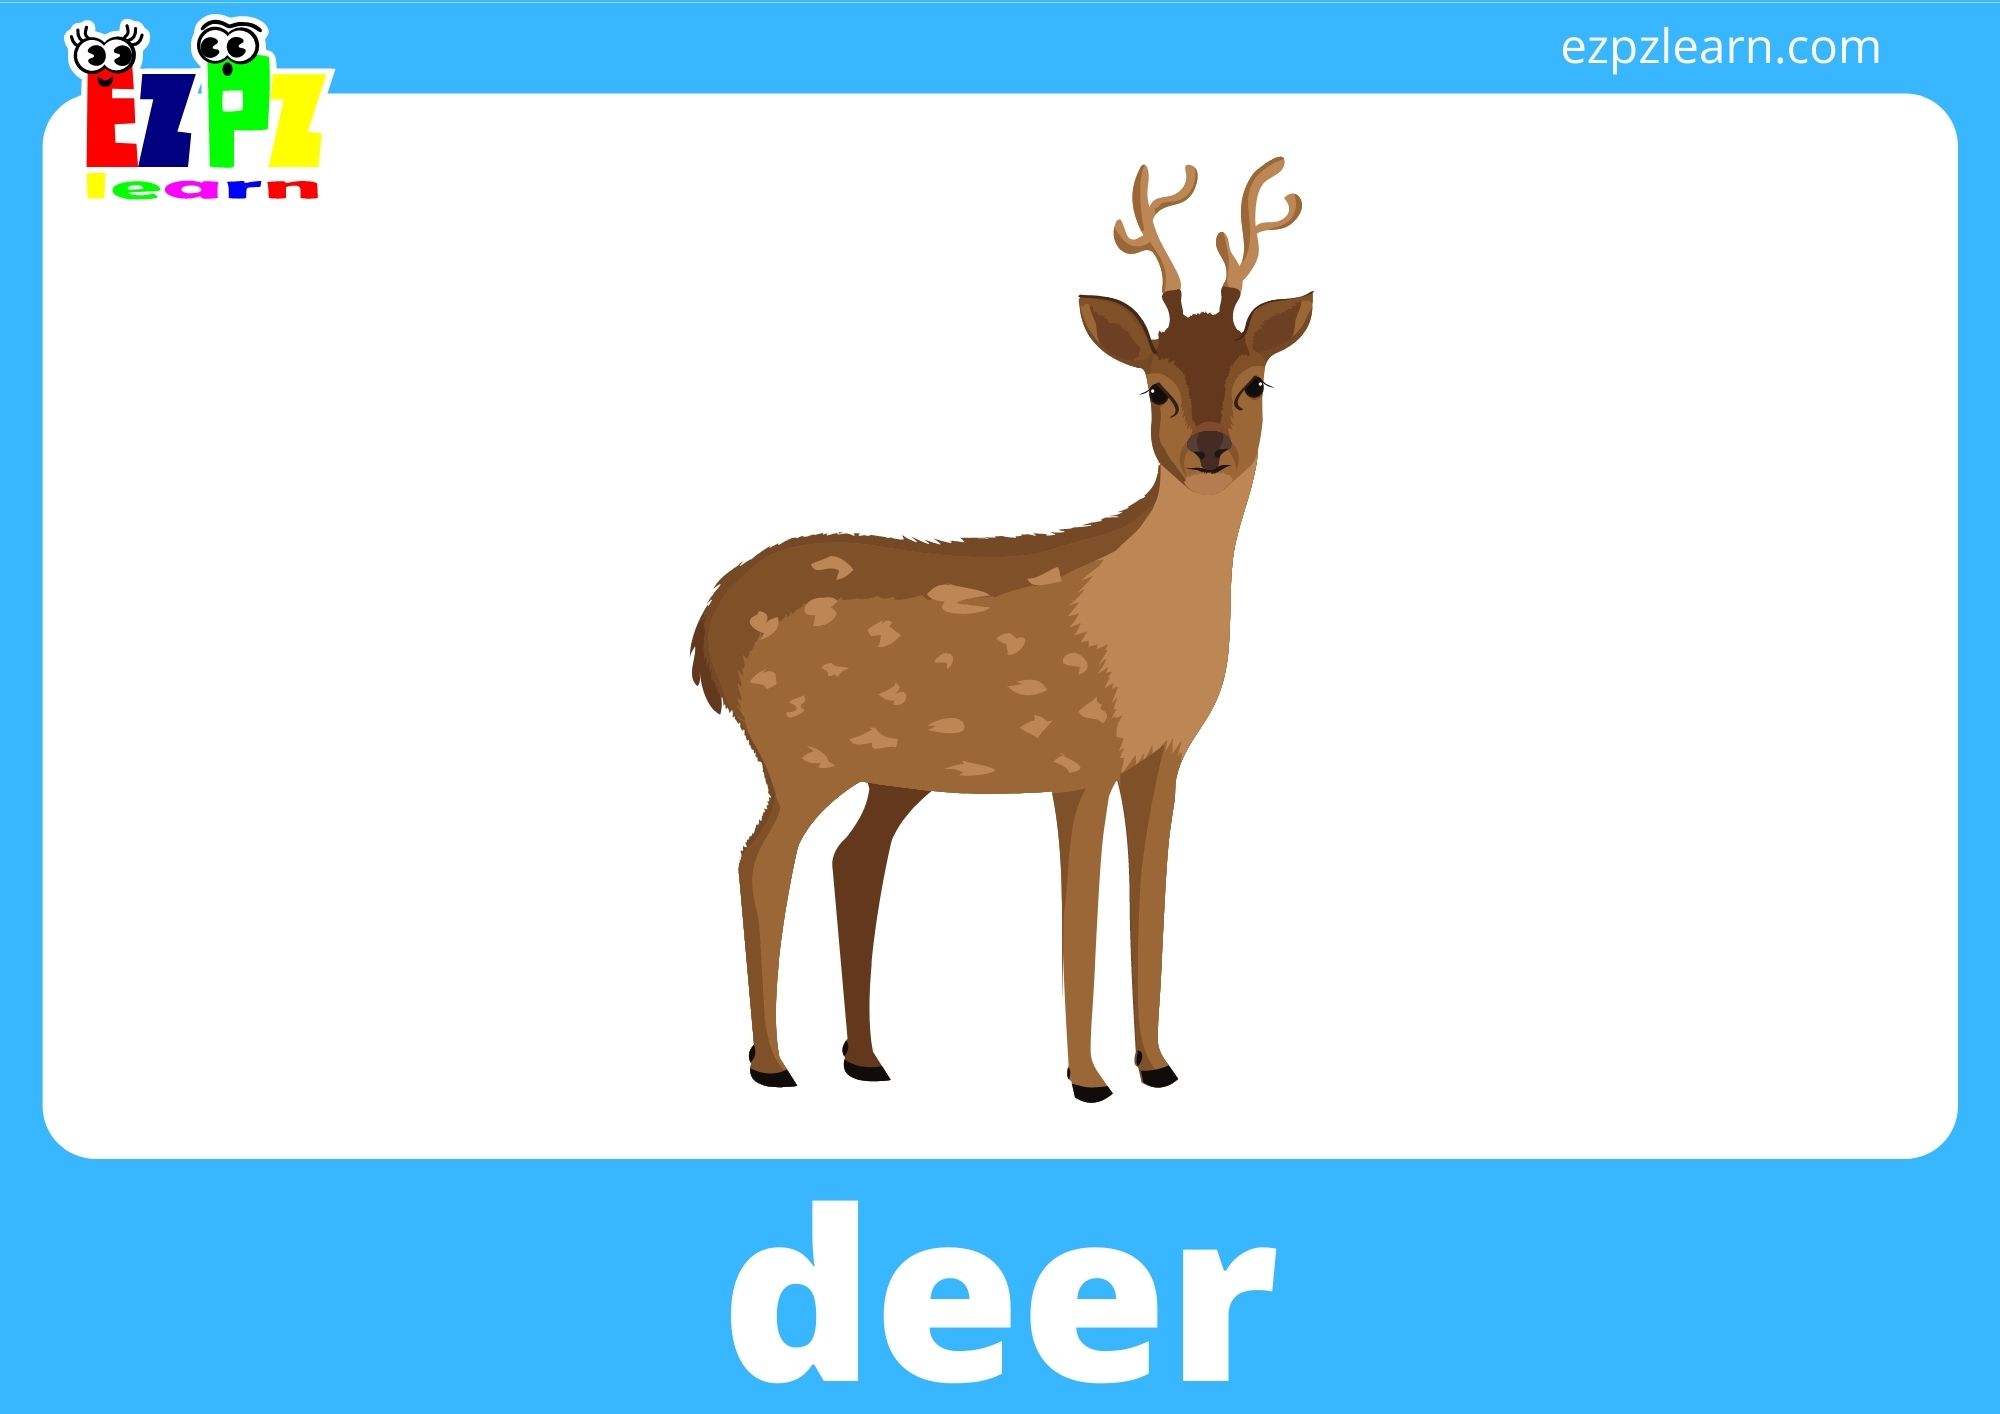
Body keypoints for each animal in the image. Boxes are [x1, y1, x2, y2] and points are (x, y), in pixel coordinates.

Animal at [690, 158, 1312, 1102]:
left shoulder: (1161, 755)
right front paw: (1088, 1079)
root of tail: (710, 632)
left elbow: (1151, 899)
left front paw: (1157, 1064)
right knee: (760, 861)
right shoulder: (1079, 752)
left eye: (1255, 382)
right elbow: (1078, 911)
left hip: (887, 770)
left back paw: (865, 1058)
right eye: (1154, 386)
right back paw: (772, 1064)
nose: (1208, 448)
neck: (1147, 625)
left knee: (851, 860)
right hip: (798, 754)